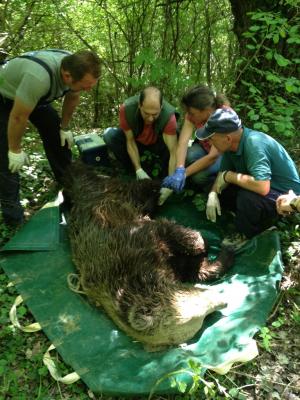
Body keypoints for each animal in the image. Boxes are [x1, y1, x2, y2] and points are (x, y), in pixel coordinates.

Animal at [63, 162, 234, 350]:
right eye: (201, 319)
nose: (224, 302)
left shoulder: (136, 237)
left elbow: (174, 235)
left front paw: (208, 244)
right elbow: (196, 267)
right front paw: (220, 249)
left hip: (110, 194)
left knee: (141, 187)